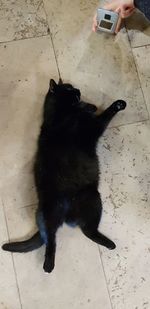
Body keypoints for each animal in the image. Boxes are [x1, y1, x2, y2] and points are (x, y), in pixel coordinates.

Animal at [2, 79, 126, 272]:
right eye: (68, 88)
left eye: (73, 87)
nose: (78, 90)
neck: (63, 113)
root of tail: (68, 216)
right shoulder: (93, 128)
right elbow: (103, 116)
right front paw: (116, 105)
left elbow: (88, 109)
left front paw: (90, 105)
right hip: (52, 212)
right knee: (51, 240)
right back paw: (48, 265)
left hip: (92, 199)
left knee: (86, 231)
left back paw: (108, 244)